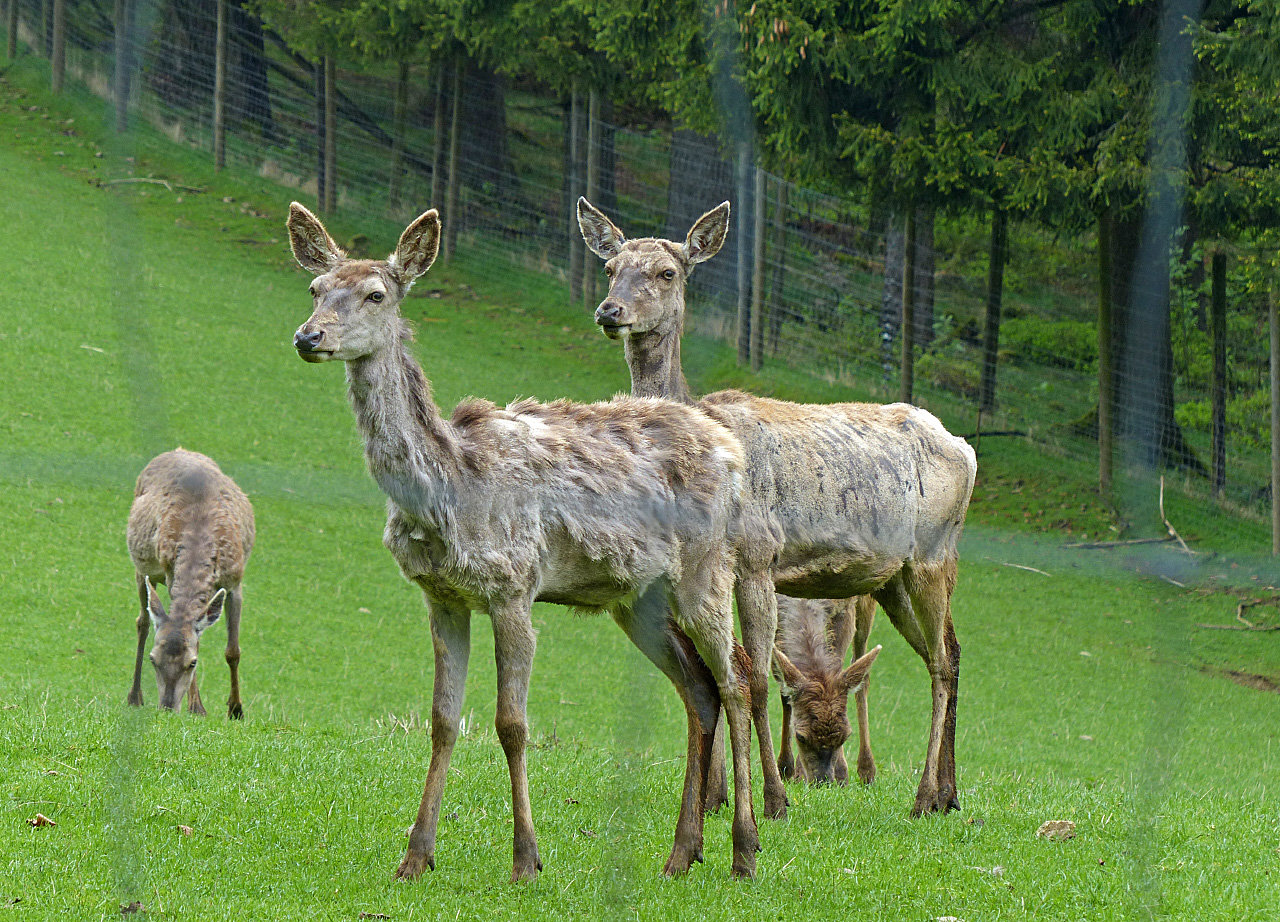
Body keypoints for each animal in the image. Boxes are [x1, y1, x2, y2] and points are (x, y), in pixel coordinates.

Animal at [126, 448, 255, 718]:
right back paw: (134, 696)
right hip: (141, 568)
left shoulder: (235, 580)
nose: (166, 707)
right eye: (153, 659)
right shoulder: (169, 572)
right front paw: (197, 707)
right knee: (142, 622)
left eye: (192, 662)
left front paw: (236, 709)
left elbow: (233, 650)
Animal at [285, 202, 761, 882]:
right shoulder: (442, 597)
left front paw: (526, 859)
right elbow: (443, 719)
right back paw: (679, 854)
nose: (309, 336)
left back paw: (744, 851)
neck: (447, 491)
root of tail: (729, 449)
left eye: (376, 293)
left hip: (706, 567)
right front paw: (415, 856)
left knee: (738, 679)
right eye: (316, 288)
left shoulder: (513, 585)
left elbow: (512, 723)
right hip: (637, 598)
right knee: (697, 687)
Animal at [578, 197, 978, 818]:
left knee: (938, 661)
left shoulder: (759, 557)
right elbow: (721, 671)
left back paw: (922, 796)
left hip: (935, 554)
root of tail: (966, 448)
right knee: (953, 653)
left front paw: (773, 797)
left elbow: (761, 678)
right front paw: (716, 797)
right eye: (609, 267)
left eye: (668, 272)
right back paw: (949, 793)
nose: (610, 310)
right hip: (893, 578)